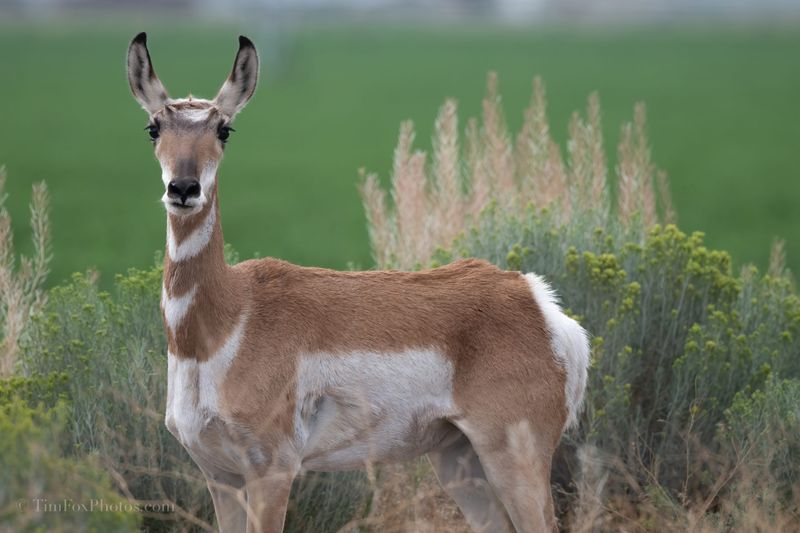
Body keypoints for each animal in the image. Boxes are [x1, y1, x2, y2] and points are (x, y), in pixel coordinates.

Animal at [128, 32, 592, 532]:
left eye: (224, 129)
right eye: (154, 127)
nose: (184, 188)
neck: (226, 320)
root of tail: (539, 302)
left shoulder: (273, 468)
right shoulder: (220, 474)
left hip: (514, 455)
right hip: (456, 457)